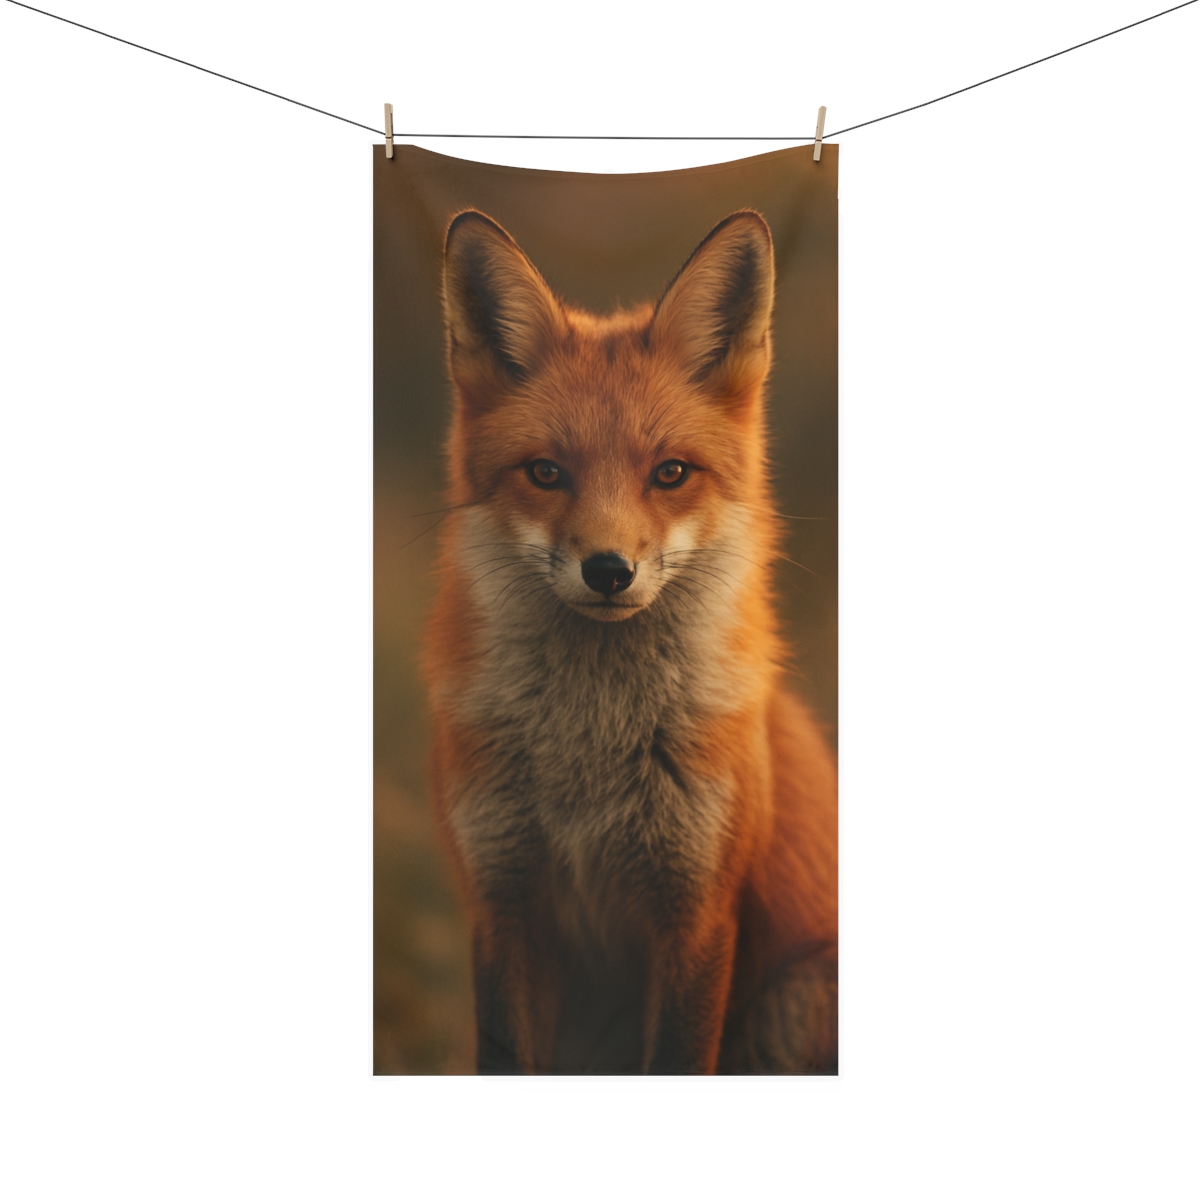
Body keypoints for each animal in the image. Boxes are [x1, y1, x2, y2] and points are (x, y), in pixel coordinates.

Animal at [423, 207, 838, 1074]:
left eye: (670, 472)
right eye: (546, 473)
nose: (609, 571)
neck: (592, 753)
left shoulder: (698, 912)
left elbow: (677, 1057)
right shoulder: (502, 902)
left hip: (795, 998)